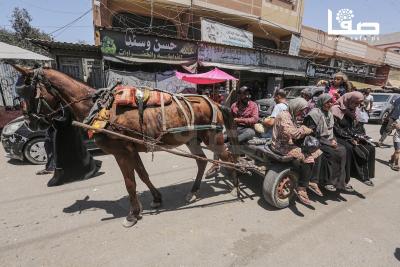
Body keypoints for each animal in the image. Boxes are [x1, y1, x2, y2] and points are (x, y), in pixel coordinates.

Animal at [11, 66, 238, 227]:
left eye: (27, 92)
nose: (30, 123)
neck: (99, 108)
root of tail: (215, 103)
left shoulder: (121, 153)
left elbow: (130, 183)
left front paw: (133, 214)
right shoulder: (131, 149)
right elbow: (143, 175)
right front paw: (156, 199)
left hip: (213, 138)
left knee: (229, 158)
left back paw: (236, 186)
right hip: (192, 139)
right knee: (202, 161)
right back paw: (194, 191)